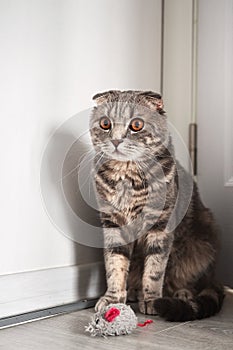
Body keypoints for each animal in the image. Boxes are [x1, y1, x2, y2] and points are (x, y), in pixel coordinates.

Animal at [89, 89, 224, 320]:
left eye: (136, 125)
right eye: (105, 123)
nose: (116, 140)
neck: (127, 176)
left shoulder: (161, 226)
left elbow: (155, 269)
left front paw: (152, 299)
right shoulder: (113, 224)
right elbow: (115, 265)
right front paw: (113, 298)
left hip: (202, 242)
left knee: (186, 280)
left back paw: (182, 294)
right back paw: (133, 292)